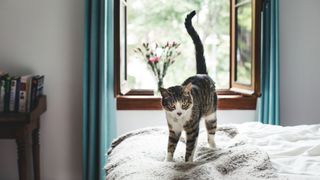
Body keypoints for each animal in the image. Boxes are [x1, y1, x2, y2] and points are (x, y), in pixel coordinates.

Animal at [159, 10, 218, 162]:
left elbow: (190, 146)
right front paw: (168, 161)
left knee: (211, 133)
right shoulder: (173, 128)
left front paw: (187, 163)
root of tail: (201, 73)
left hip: (211, 113)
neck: (180, 120)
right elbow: (170, 145)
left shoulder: (192, 128)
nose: (179, 113)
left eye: (184, 104)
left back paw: (213, 147)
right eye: (172, 106)